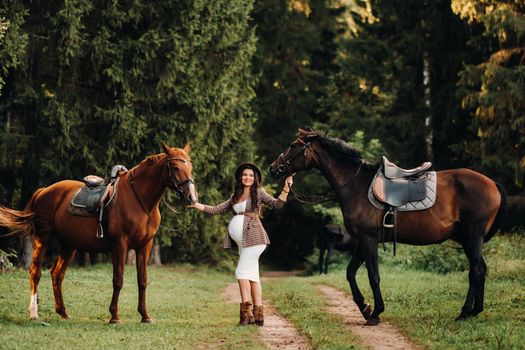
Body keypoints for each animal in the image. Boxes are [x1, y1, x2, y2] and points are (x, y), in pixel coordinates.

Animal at [0, 142, 196, 322]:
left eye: (191, 166)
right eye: (176, 167)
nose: (191, 197)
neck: (139, 199)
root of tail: (44, 191)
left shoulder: (144, 246)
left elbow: (142, 280)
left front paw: (145, 316)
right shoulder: (120, 244)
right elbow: (118, 279)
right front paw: (114, 317)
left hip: (69, 245)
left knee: (57, 274)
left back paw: (63, 312)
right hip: (43, 236)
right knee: (36, 272)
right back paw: (34, 313)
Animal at [268, 128, 506, 326]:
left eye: (293, 145)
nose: (273, 169)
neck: (355, 185)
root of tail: (492, 183)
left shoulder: (368, 240)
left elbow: (373, 276)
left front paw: (375, 313)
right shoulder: (361, 242)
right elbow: (350, 273)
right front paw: (365, 308)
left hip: (473, 236)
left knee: (476, 272)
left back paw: (464, 312)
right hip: (467, 240)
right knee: (481, 269)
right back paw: (475, 311)